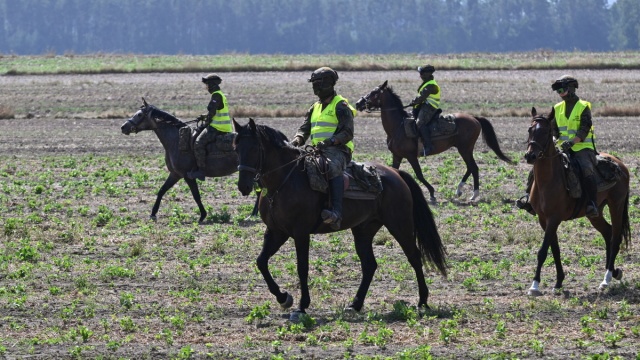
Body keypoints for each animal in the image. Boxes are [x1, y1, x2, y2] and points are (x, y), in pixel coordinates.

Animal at [122, 98, 258, 222]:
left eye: (139, 114)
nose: (123, 127)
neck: (177, 140)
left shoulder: (187, 175)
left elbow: (196, 195)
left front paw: (202, 215)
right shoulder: (175, 174)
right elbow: (161, 191)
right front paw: (153, 214)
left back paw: (253, 214)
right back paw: (254, 214)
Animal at [232, 118, 448, 320]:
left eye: (253, 148)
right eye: (236, 148)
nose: (243, 186)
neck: (284, 181)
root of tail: (396, 173)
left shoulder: (300, 233)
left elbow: (302, 268)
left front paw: (301, 306)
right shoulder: (276, 232)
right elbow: (261, 262)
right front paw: (283, 297)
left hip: (400, 225)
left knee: (414, 256)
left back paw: (422, 301)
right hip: (363, 230)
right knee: (369, 265)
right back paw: (355, 304)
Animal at [356, 81, 516, 202]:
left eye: (374, 93)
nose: (358, 103)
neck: (398, 126)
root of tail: (474, 118)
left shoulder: (411, 156)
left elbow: (419, 174)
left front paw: (432, 193)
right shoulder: (397, 155)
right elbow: (393, 171)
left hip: (464, 149)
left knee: (474, 168)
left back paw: (473, 195)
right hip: (464, 149)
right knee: (470, 167)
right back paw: (459, 190)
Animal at [524, 107, 632, 296]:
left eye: (545, 132)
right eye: (530, 130)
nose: (530, 156)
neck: (549, 180)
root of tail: (620, 164)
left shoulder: (554, 218)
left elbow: (543, 251)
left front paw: (534, 285)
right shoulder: (544, 220)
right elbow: (555, 249)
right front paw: (559, 282)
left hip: (616, 206)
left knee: (615, 237)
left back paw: (607, 279)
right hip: (595, 213)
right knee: (608, 232)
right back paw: (612, 272)